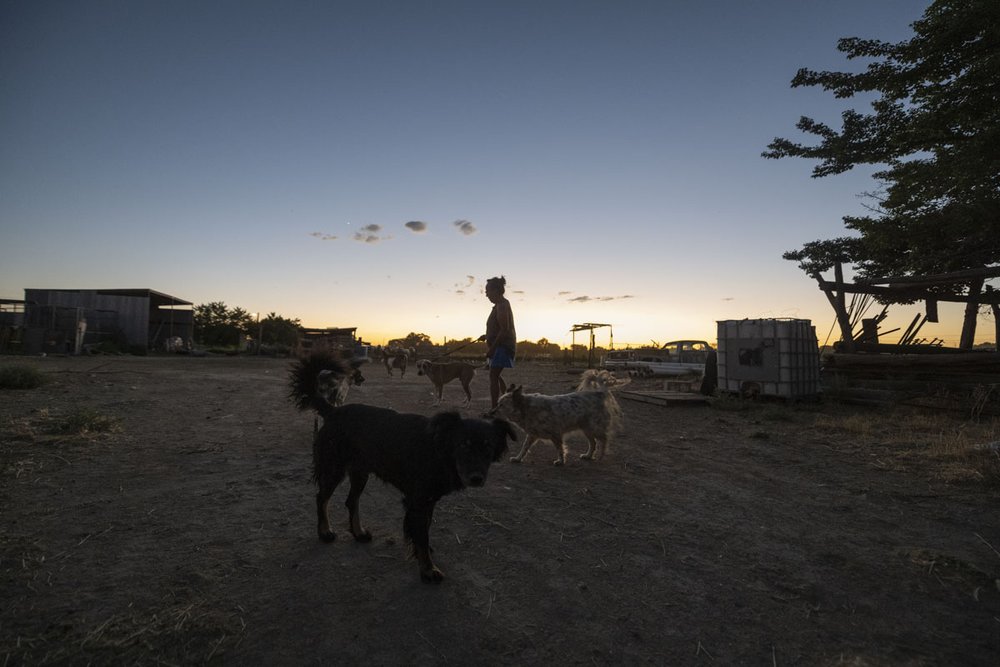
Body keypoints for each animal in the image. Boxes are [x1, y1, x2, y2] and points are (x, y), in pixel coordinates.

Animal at [312, 402, 516, 584]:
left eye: (488, 447)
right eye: (463, 445)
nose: (476, 478)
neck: (437, 449)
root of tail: (333, 411)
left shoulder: (429, 501)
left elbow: (424, 529)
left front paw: (421, 554)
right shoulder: (418, 501)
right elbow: (422, 536)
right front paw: (428, 570)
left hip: (360, 472)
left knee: (351, 501)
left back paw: (358, 533)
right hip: (334, 468)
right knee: (321, 498)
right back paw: (325, 532)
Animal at [488, 384, 620, 468]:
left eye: (501, 405)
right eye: (497, 404)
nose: (490, 413)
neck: (526, 409)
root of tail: (599, 394)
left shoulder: (556, 434)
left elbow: (560, 449)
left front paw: (561, 461)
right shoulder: (532, 435)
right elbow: (524, 447)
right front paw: (518, 458)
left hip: (594, 428)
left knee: (604, 439)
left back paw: (601, 455)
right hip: (586, 429)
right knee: (593, 443)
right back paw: (588, 455)